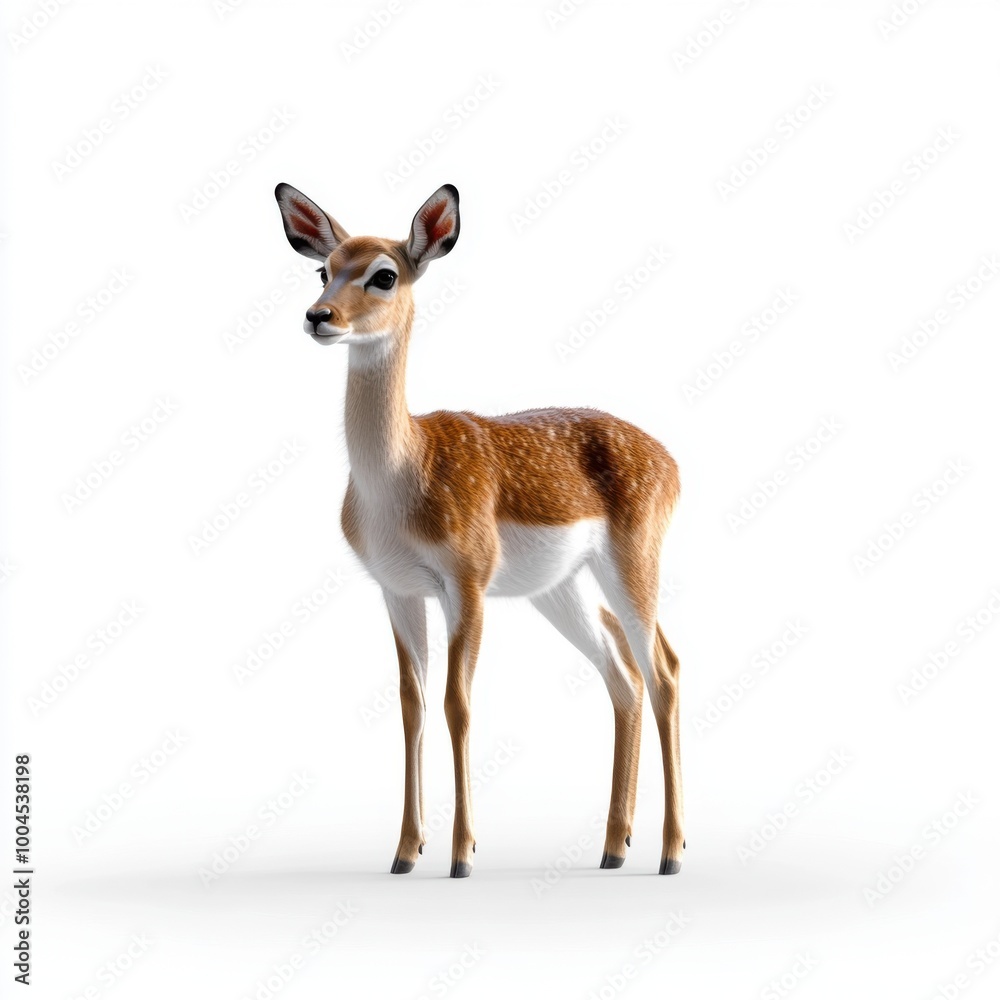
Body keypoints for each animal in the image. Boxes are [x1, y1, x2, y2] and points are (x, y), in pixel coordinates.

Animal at [274, 181, 684, 877]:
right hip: (562, 590)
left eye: (384, 273)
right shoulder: (398, 591)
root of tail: (669, 458)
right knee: (623, 677)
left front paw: (462, 854)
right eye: (323, 269)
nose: (318, 316)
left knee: (663, 672)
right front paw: (405, 851)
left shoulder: (465, 587)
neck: (402, 474)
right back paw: (612, 847)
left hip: (631, 567)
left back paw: (670, 852)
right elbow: (411, 705)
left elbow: (457, 705)